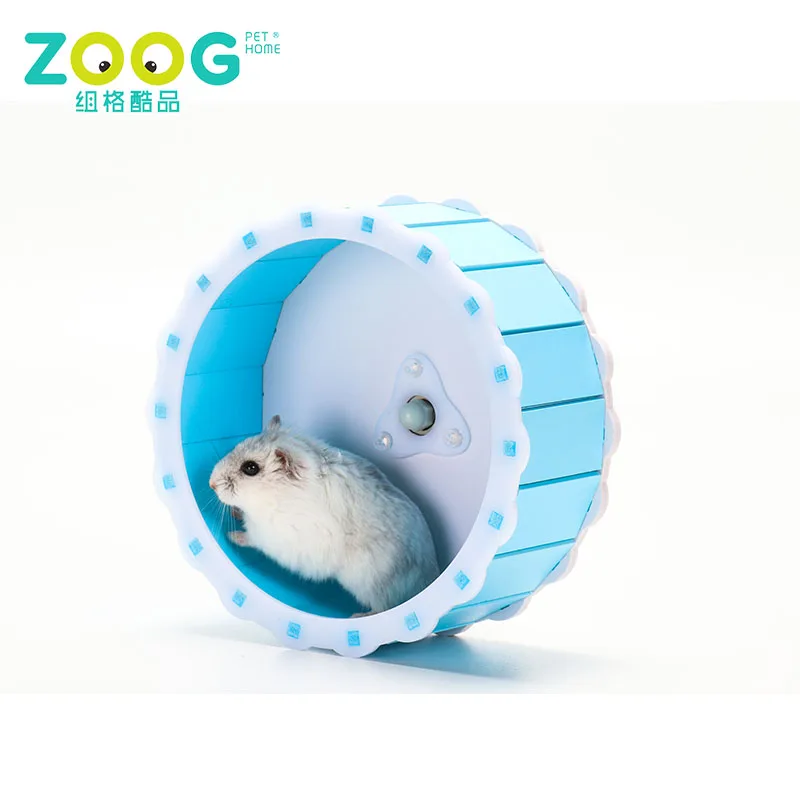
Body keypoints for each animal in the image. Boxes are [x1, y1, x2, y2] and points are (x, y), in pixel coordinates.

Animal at [209, 415, 440, 614]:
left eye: (250, 468)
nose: (210, 484)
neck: (275, 498)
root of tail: (431, 578)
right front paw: (235, 512)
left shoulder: (271, 537)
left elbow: (251, 539)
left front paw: (231, 536)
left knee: (382, 608)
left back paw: (356, 616)